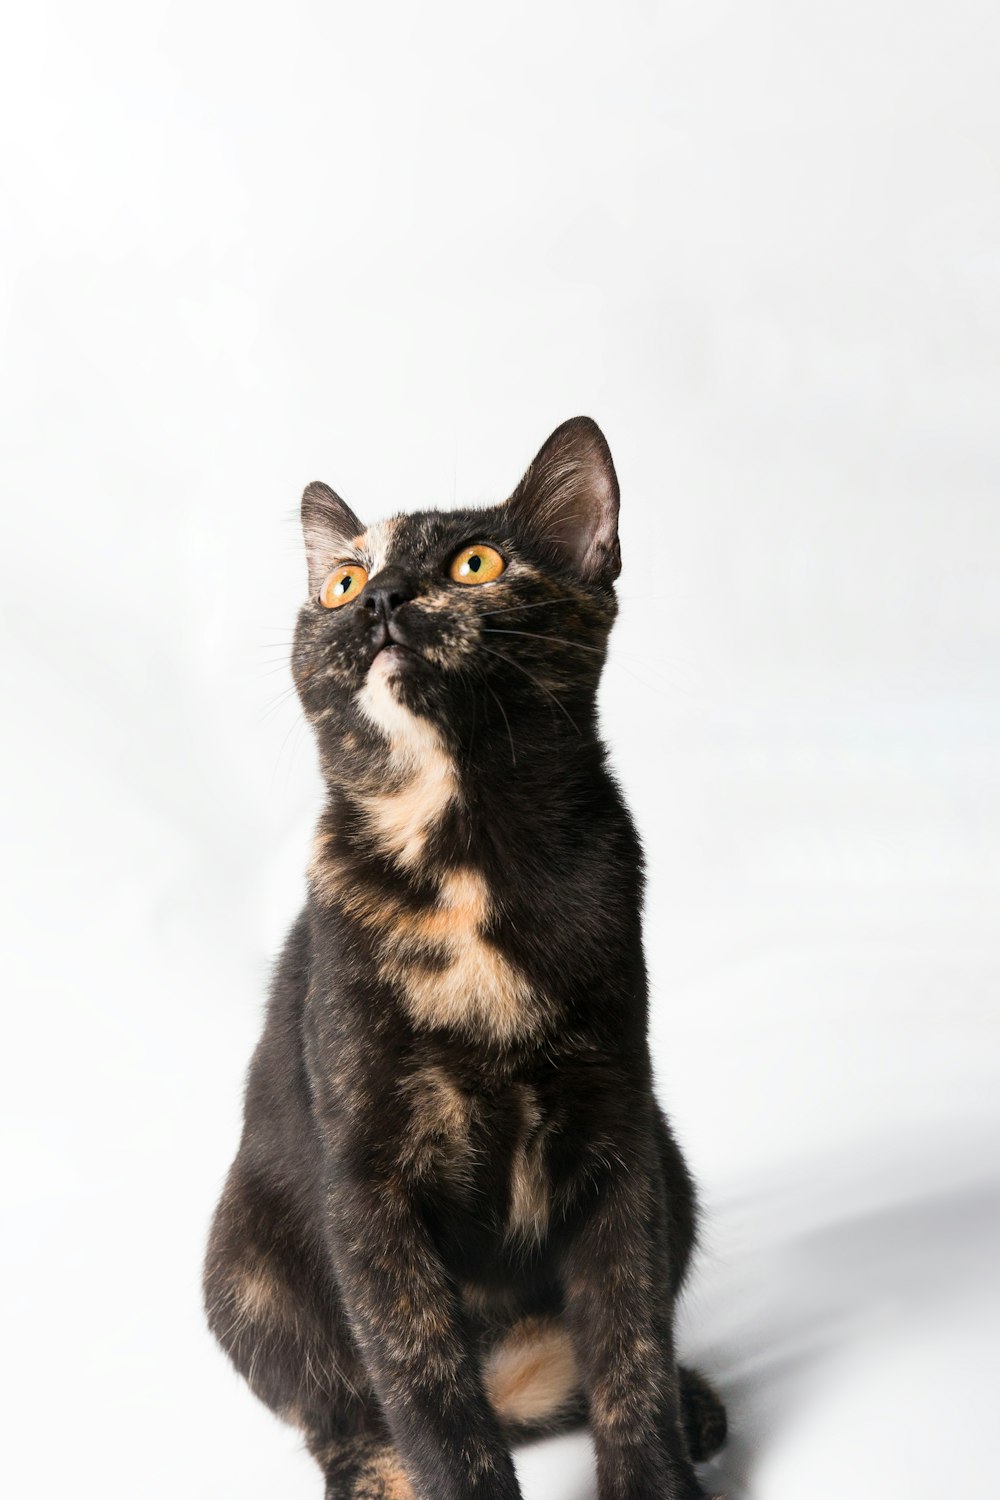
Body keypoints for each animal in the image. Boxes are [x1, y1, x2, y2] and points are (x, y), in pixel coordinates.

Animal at [205, 420, 728, 1500]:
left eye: (474, 565)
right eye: (341, 582)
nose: (380, 600)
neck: (466, 859)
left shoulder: (620, 1138)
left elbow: (629, 1344)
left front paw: (654, 1475)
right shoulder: (368, 1182)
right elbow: (425, 1386)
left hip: (673, 1163)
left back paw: (694, 1405)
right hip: (238, 1259)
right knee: (336, 1406)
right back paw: (374, 1472)